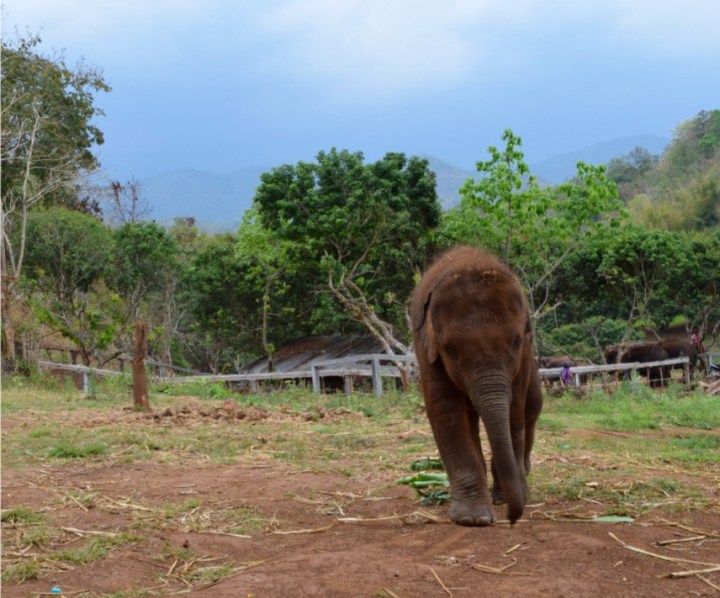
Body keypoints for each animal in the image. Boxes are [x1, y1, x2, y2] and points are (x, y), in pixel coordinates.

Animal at [411, 246, 543, 526]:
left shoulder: (524, 355)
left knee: (532, 407)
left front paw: (507, 497)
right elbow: (445, 411)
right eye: (451, 350)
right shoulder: (426, 349)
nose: (513, 517)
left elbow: (514, 410)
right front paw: (474, 518)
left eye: (516, 342)